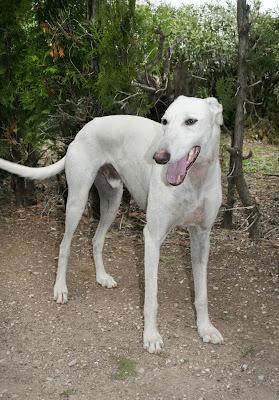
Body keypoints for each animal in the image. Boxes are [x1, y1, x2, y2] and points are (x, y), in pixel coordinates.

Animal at [0, 97, 224, 354]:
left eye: (191, 121)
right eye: (165, 121)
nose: (160, 157)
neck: (195, 179)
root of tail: (83, 130)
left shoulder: (202, 236)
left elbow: (202, 293)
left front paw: (206, 329)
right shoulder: (152, 236)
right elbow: (151, 297)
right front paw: (151, 336)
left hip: (112, 200)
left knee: (96, 240)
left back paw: (102, 277)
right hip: (77, 200)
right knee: (64, 245)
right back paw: (60, 288)